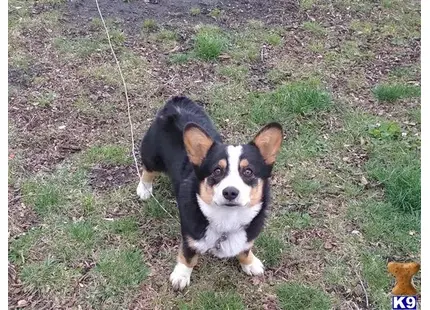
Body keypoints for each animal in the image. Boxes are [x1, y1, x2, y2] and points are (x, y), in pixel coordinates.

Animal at [137, 95, 282, 290]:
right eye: (217, 171)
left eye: (248, 171)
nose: (230, 192)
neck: (228, 218)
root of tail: (175, 104)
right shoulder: (189, 235)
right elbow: (188, 257)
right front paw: (181, 277)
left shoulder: (248, 236)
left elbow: (245, 250)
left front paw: (250, 263)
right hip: (153, 157)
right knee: (148, 170)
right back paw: (144, 189)